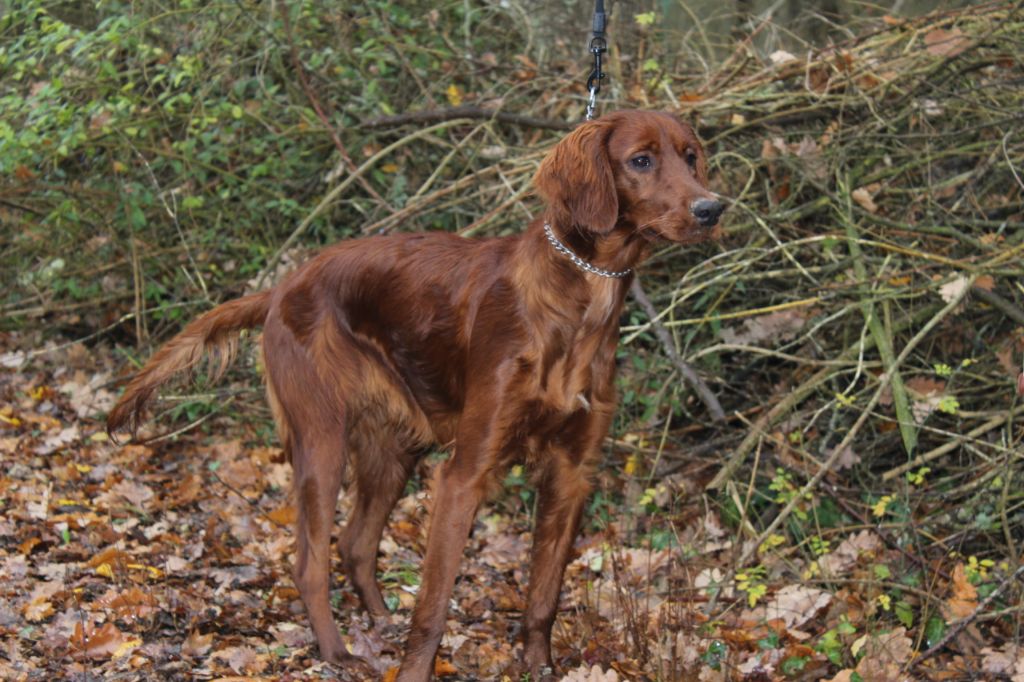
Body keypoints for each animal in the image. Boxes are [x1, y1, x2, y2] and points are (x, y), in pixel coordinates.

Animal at [105, 109, 720, 675]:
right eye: (640, 160)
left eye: (690, 157)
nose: (712, 209)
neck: (579, 299)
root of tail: (282, 288)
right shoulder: (465, 473)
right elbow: (434, 606)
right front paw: (414, 669)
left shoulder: (572, 473)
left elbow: (543, 596)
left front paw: (536, 666)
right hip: (321, 438)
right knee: (310, 562)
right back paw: (337, 652)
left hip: (394, 447)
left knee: (355, 545)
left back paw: (378, 623)